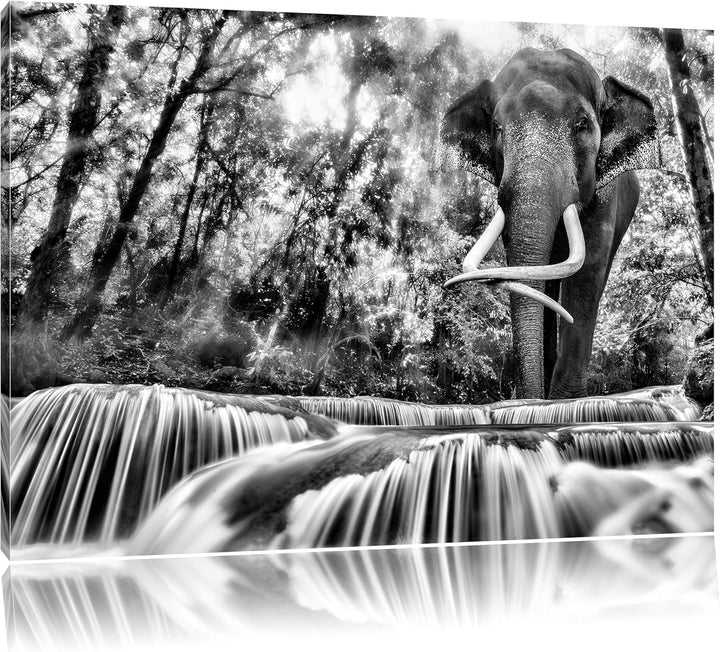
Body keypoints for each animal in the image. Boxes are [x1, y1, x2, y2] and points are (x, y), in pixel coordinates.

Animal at [441, 47, 661, 400]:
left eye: (583, 124)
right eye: (497, 128)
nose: (525, 399)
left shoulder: (605, 194)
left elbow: (588, 271)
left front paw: (566, 401)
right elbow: (527, 275)